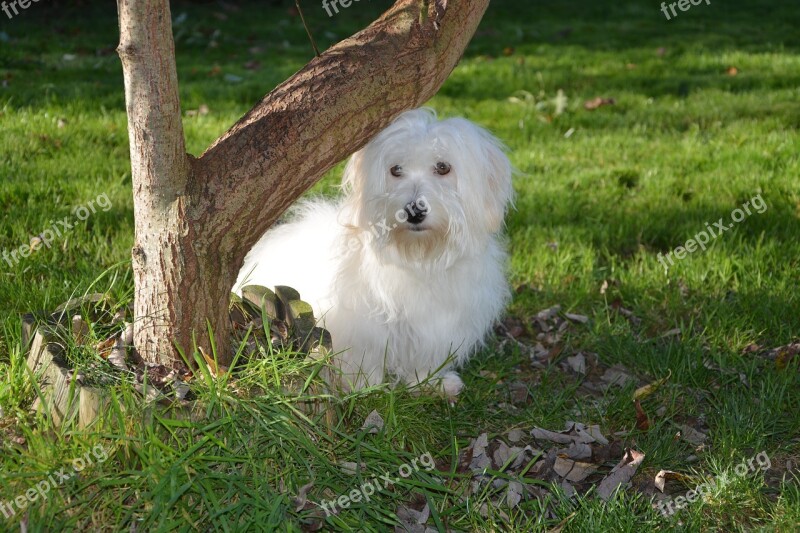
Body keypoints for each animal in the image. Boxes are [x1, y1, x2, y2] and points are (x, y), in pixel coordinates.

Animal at [236, 108, 512, 396]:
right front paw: (363, 385)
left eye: (443, 167)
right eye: (396, 170)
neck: (417, 258)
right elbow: (363, 356)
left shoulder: (437, 325)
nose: (414, 210)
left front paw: (430, 382)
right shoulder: (359, 327)